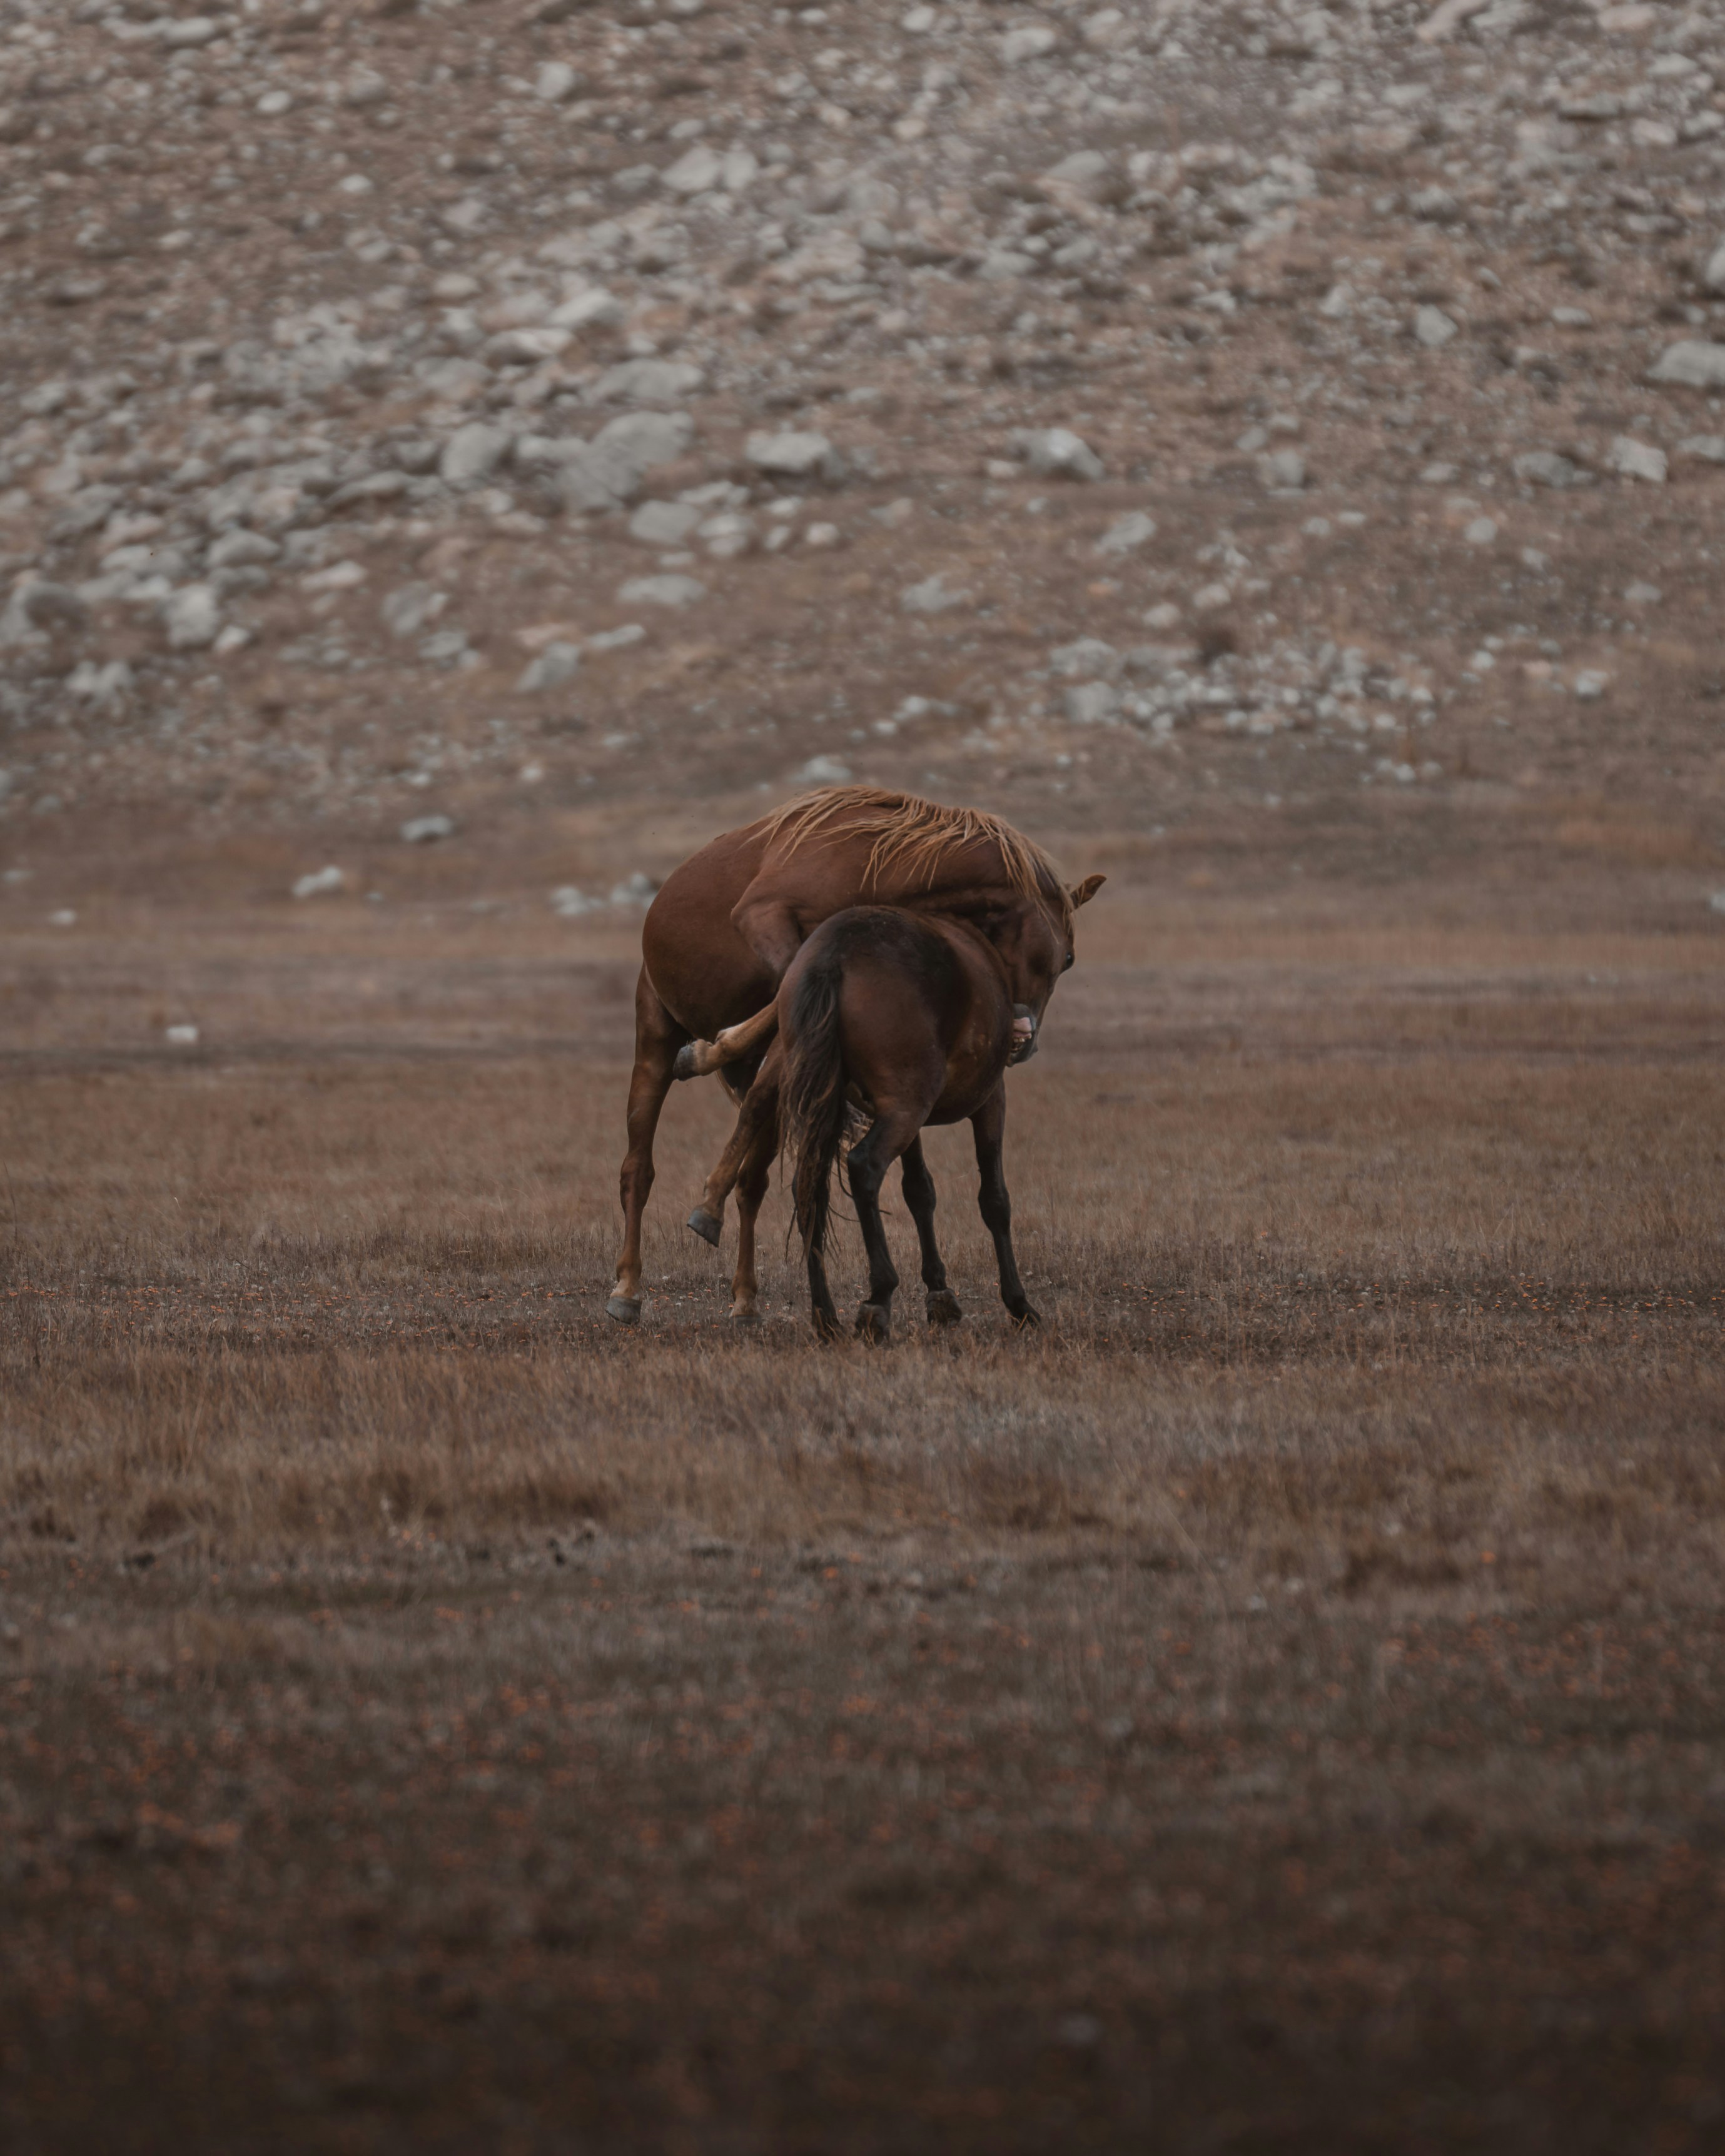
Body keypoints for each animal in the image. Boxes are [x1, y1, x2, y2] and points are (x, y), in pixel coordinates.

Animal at [608, 788, 1104, 1319]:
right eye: (1067, 957)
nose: (1022, 1039)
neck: (876, 860)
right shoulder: (766, 919)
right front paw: (707, 1053)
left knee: (754, 1176)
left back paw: (743, 1293)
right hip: (654, 1039)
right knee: (639, 1169)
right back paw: (629, 1287)